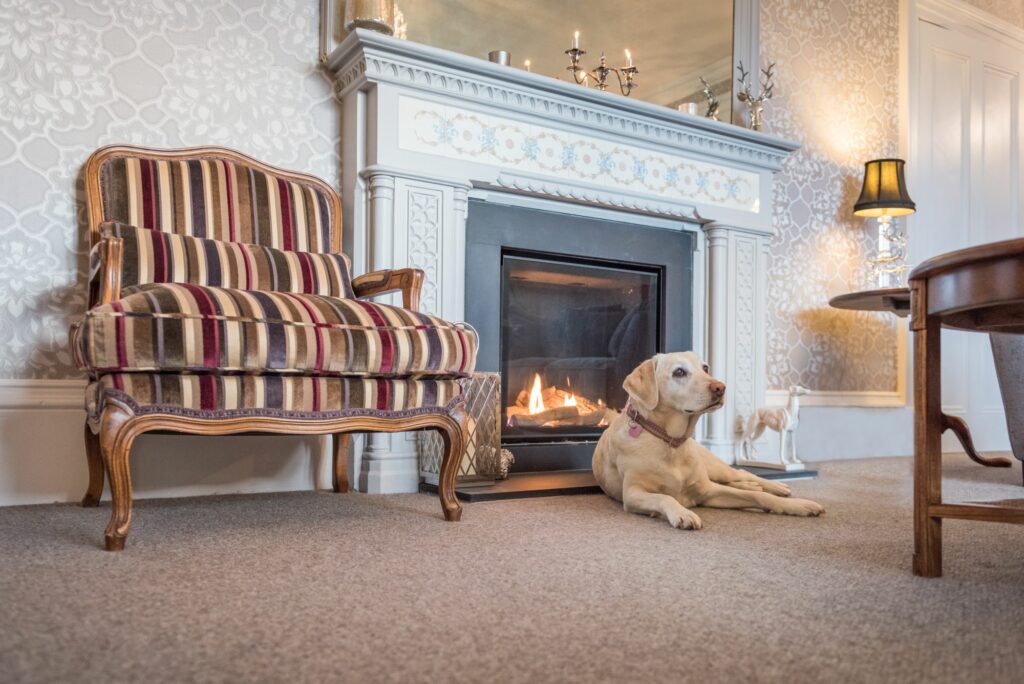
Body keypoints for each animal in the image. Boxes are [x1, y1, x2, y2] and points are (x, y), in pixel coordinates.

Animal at [593, 352, 823, 528]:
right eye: (679, 372)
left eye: (705, 367)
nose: (720, 387)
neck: (671, 442)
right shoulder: (633, 494)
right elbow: (665, 497)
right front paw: (683, 513)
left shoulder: (708, 490)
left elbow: (760, 497)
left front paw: (798, 505)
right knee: (741, 479)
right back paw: (754, 485)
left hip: (715, 468)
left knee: (742, 472)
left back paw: (776, 486)